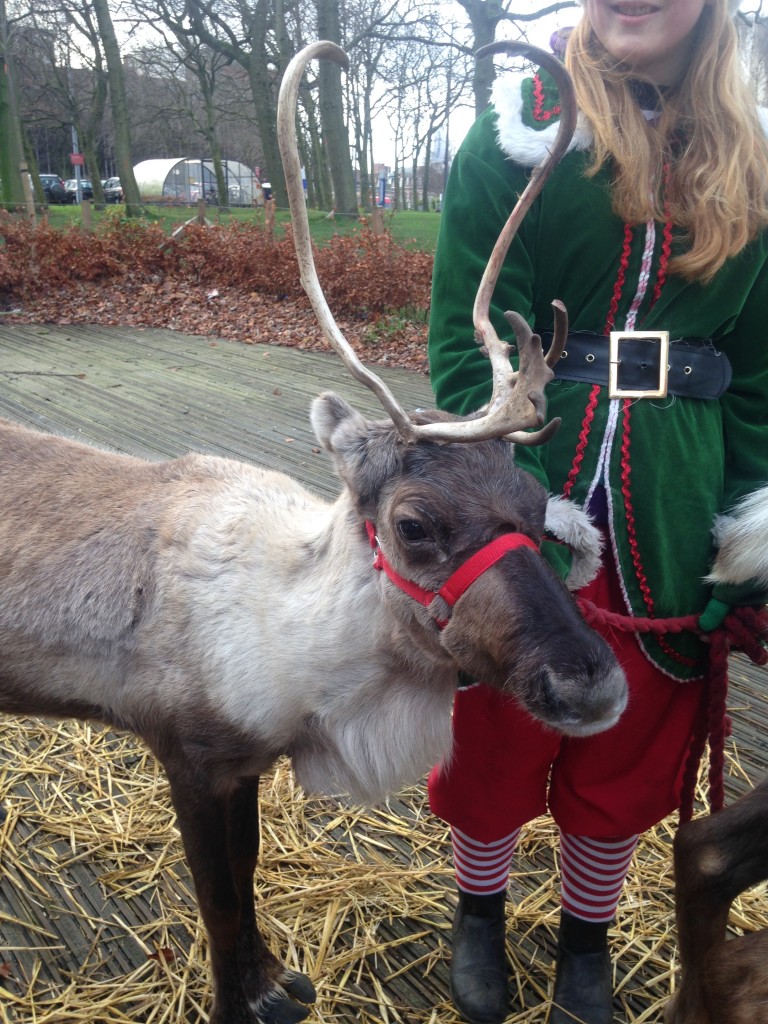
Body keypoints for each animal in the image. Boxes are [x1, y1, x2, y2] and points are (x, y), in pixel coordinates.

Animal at [0, 42, 627, 1024]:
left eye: (535, 510)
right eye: (413, 524)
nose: (591, 682)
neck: (289, 632)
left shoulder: (247, 764)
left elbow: (249, 880)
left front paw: (273, 982)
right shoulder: (190, 754)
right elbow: (220, 899)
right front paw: (239, 997)